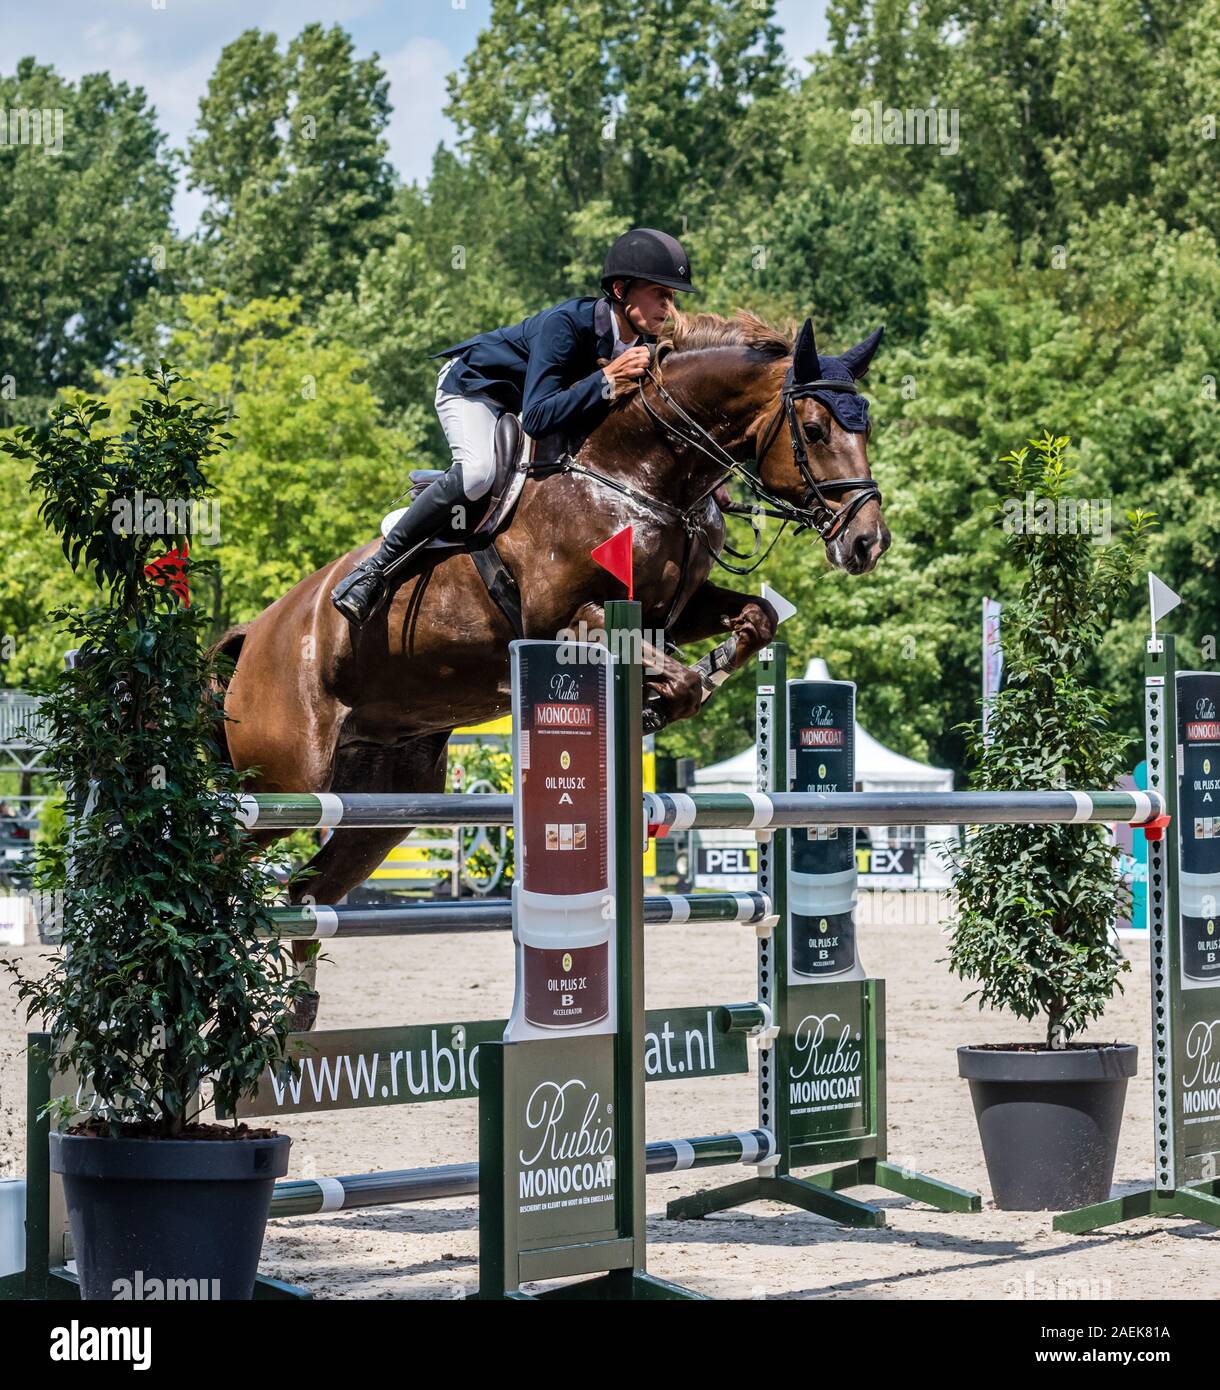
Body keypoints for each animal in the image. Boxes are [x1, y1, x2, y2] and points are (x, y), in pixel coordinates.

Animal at [216, 312, 889, 1023]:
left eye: (864, 428)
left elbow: (756, 619)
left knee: (306, 892)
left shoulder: (676, 610)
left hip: (383, 803)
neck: (635, 472)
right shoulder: (564, 618)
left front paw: (690, 681)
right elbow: (673, 673)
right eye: (814, 430)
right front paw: (661, 699)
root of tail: (255, 635)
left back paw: (294, 1018)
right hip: (284, 784)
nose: (867, 542)